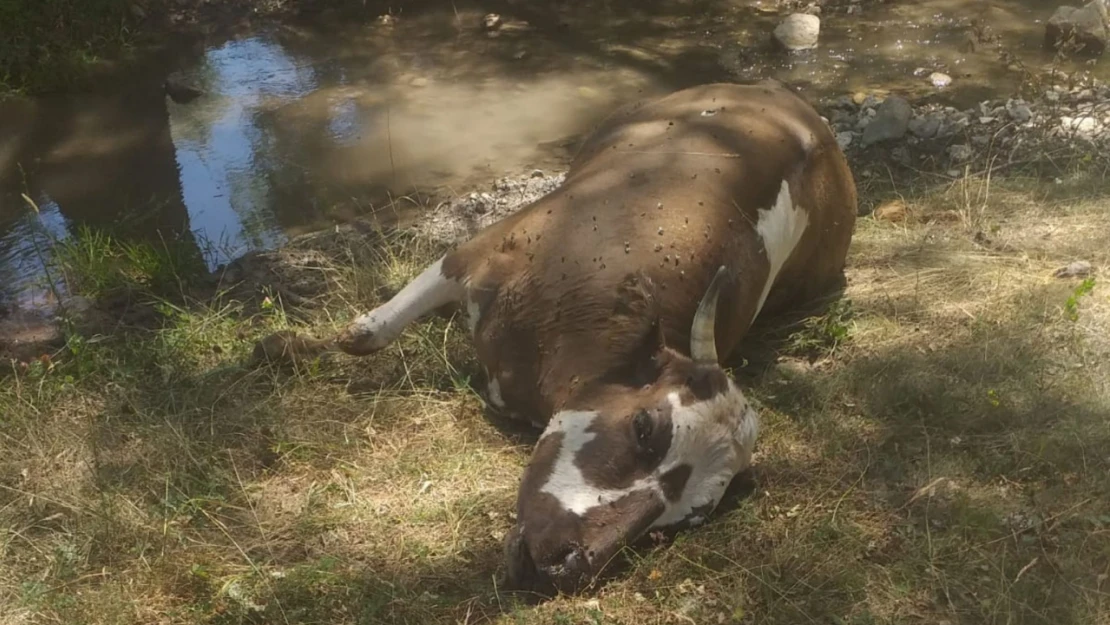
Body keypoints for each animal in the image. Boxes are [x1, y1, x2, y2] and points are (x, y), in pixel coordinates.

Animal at [328, 79, 856, 595]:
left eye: (693, 513)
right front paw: (355, 333)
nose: (567, 563)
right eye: (645, 427)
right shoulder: (489, 243)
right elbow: (386, 321)